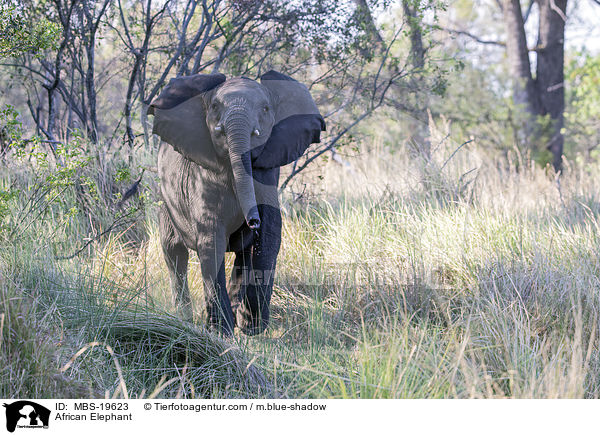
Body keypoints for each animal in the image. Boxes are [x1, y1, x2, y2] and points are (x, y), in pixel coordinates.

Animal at [149, 71, 326, 338]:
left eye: (265, 109)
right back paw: (184, 317)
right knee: (174, 254)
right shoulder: (202, 177)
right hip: (165, 200)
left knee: (242, 256)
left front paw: (251, 328)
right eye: (214, 107)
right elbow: (211, 240)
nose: (251, 221)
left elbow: (269, 235)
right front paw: (221, 331)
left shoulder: (266, 172)